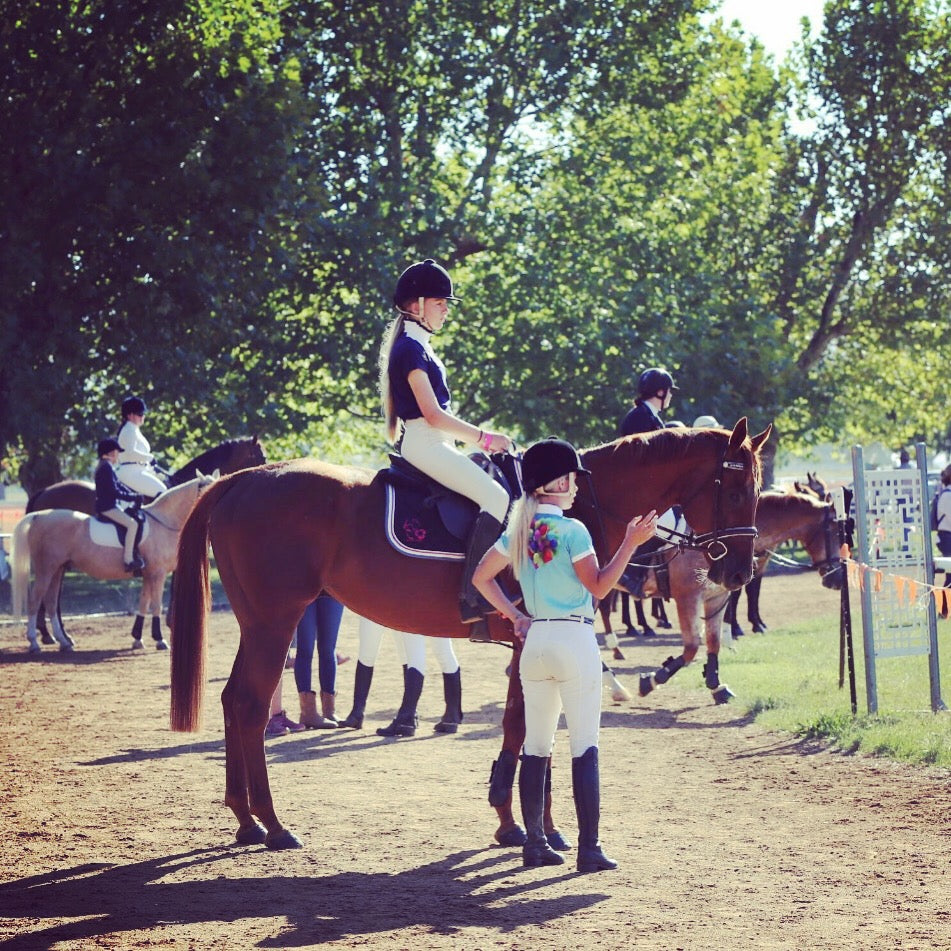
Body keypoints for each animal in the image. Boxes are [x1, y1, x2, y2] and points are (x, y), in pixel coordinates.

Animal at [169, 420, 768, 852]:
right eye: (739, 489)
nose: (740, 572)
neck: (574, 508)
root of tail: (244, 480)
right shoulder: (534, 640)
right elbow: (529, 730)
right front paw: (535, 827)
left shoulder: (529, 645)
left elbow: (521, 727)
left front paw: (517, 822)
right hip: (276, 621)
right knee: (249, 705)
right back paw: (273, 825)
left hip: (257, 623)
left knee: (232, 700)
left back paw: (245, 820)